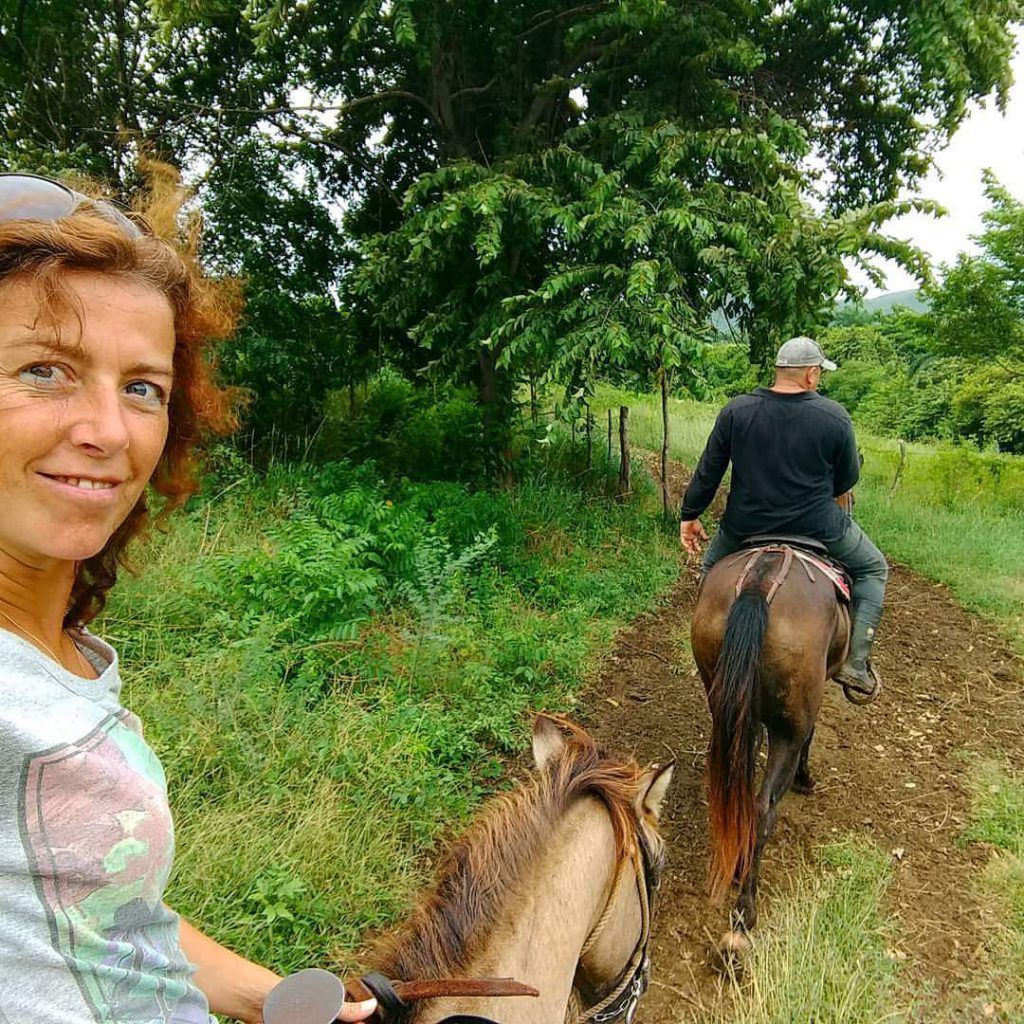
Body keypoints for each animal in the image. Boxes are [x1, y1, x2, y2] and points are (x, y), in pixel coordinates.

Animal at [692, 544, 851, 950]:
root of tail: (759, 583)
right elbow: (810, 735)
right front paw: (805, 779)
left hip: (728, 703)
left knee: (741, 795)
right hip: (788, 730)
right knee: (764, 807)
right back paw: (744, 910)